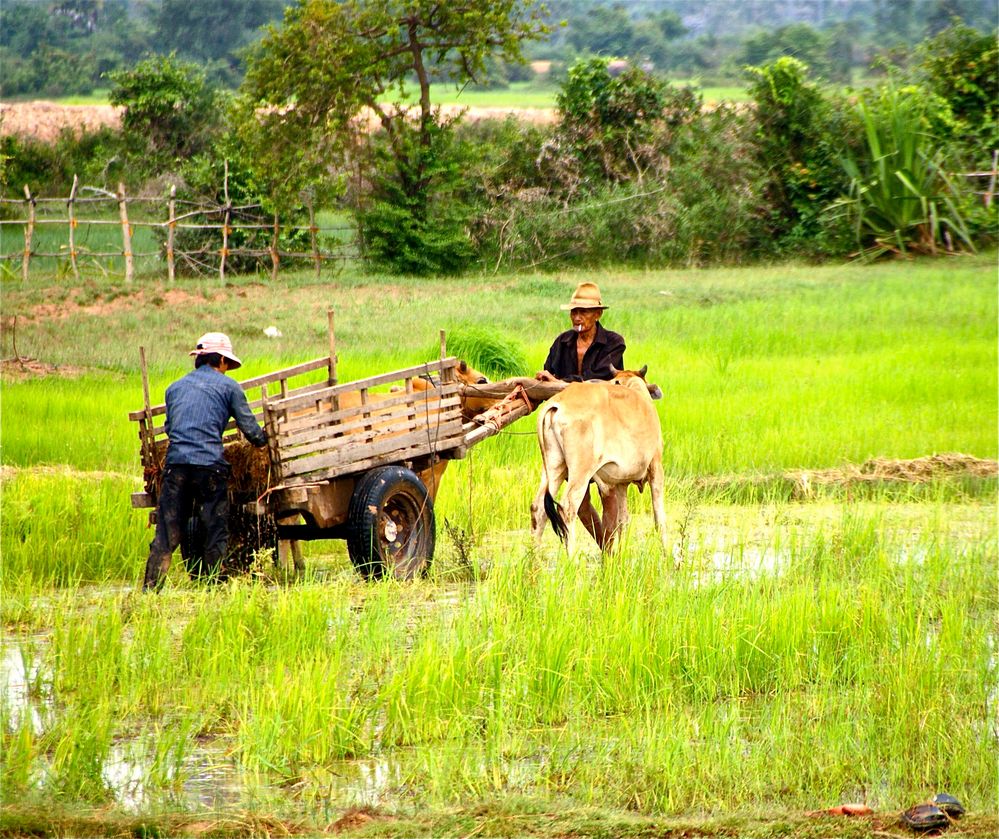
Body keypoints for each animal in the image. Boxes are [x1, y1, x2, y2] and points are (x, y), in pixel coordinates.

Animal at [528, 366, 668, 556]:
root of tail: (556, 404)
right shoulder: (656, 468)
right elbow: (659, 518)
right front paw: (668, 556)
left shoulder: (620, 483)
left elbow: (623, 521)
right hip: (580, 471)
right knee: (567, 509)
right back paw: (572, 560)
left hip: (553, 467)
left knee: (538, 509)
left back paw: (532, 560)